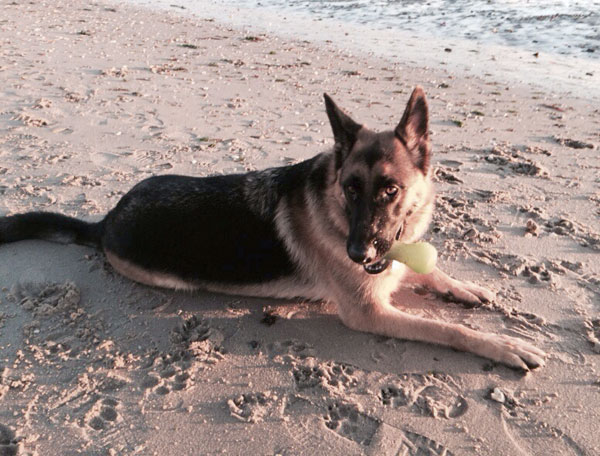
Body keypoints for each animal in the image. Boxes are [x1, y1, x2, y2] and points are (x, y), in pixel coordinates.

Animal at [0, 87, 548, 372]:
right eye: (350, 188)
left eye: (389, 190)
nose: (356, 253)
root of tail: (107, 219)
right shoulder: (370, 312)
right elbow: (449, 330)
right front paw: (503, 346)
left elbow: (431, 273)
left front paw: (464, 287)